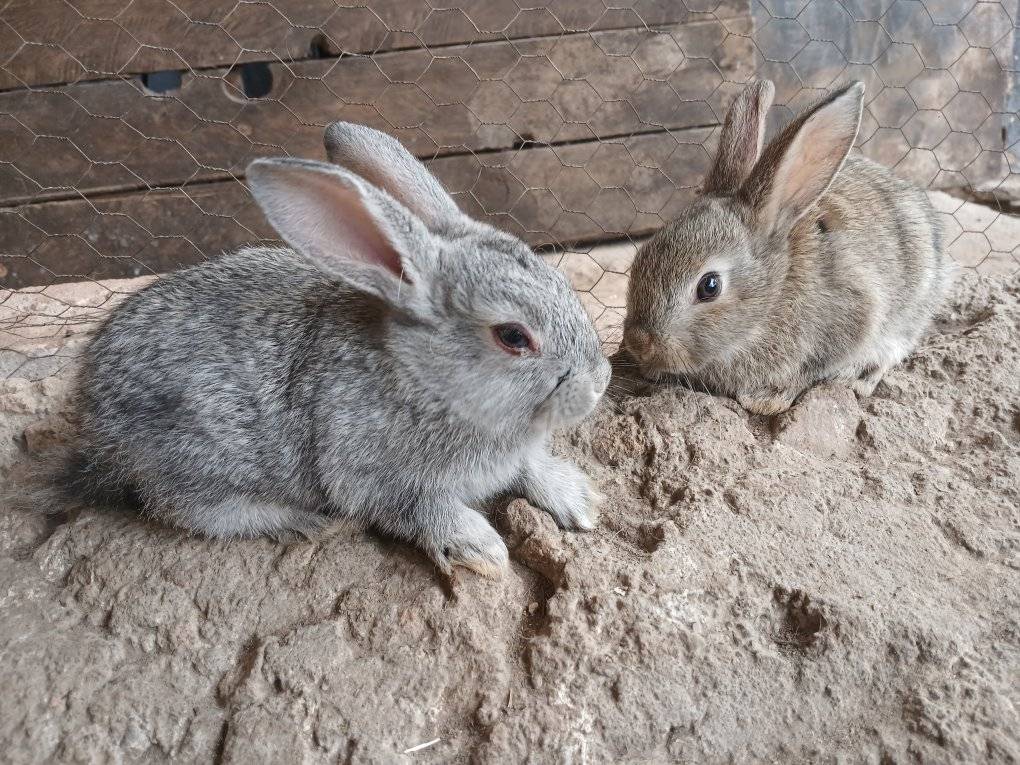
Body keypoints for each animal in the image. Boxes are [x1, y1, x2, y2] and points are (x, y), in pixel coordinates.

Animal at [62, 122, 611, 577]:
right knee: (191, 508)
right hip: (194, 460)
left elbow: (530, 467)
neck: (428, 382)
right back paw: (299, 521)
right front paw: (482, 551)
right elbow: (423, 509)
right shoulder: (375, 478)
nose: (599, 383)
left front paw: (581, 500)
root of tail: (92, 413)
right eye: (513, 336)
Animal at [622, 79, 952, 415]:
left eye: (709, 286)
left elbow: (812, 369)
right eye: (641, 257)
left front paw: (767, 399)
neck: (775, 295)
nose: (638, 342)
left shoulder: (855, 312)